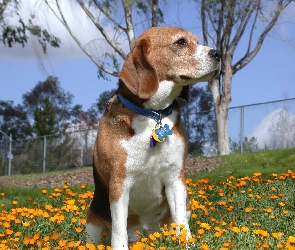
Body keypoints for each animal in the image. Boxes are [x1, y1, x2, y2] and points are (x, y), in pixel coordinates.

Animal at [86, 26, 221, 249]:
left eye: (196, 41)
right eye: (181, 42)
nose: (218, 54)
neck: (153, 115)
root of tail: (144, 233)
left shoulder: (175, 178)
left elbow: (182, 223)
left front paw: (187, 244)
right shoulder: (119, 183)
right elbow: (119, 230)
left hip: (186, 203)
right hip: (92, 224)